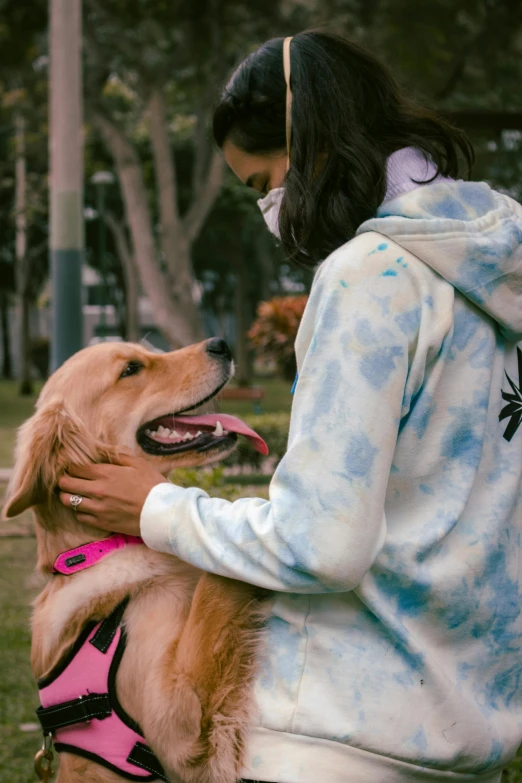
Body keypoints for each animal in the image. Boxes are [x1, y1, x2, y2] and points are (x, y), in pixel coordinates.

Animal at [4, 342, 270, 783]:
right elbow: (215, 587)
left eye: (148, 351)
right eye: (130, 369)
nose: (221, 344)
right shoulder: (178, 729)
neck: (108, 545)